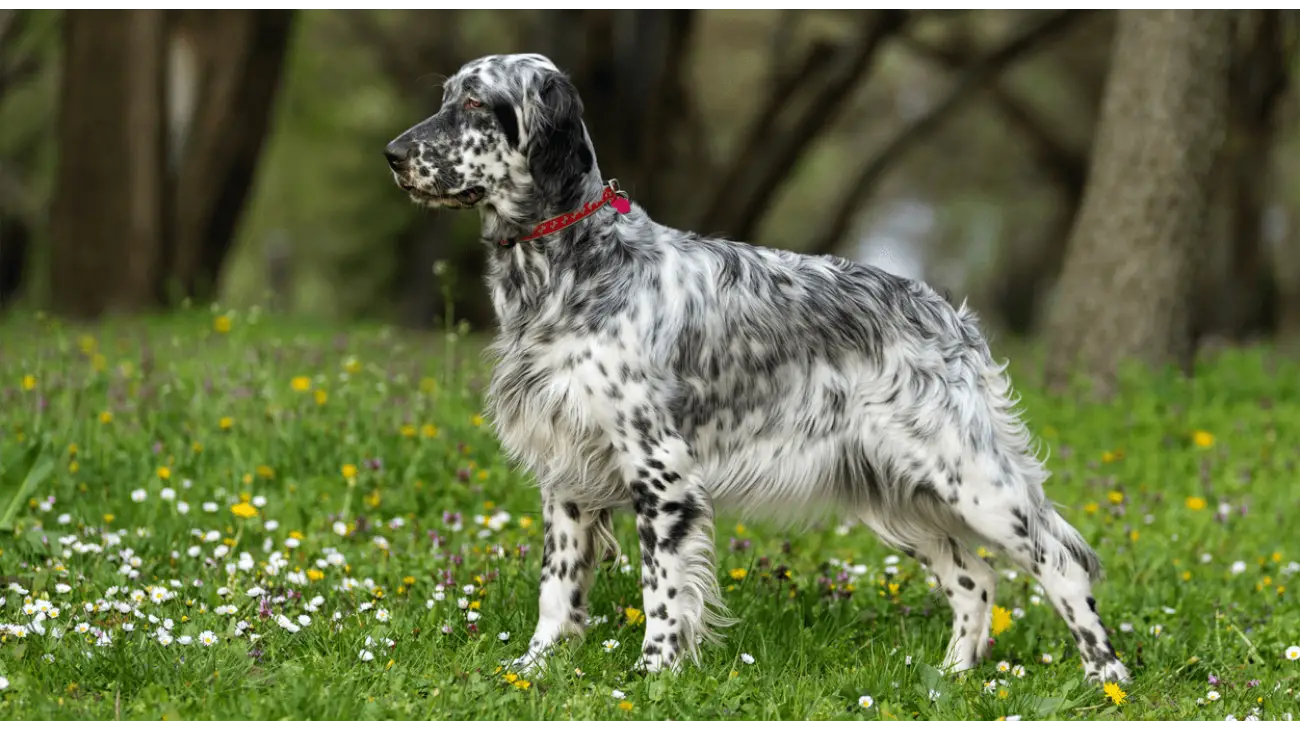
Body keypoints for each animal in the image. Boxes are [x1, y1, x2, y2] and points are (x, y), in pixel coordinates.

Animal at [382, 52, 1128, 680]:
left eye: (476, 103)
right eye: (446, 96)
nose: (391, 155)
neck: (574, 266)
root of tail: (949, 314)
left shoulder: (661, 472)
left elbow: (662, 591)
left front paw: (653, 676)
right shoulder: (567, 473)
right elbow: (557, 590)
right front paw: (534, 669)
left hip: (972, 481)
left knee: (1061, 562)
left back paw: (1107, 679)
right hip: (896, 496)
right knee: (975, 580)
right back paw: (952, 678)